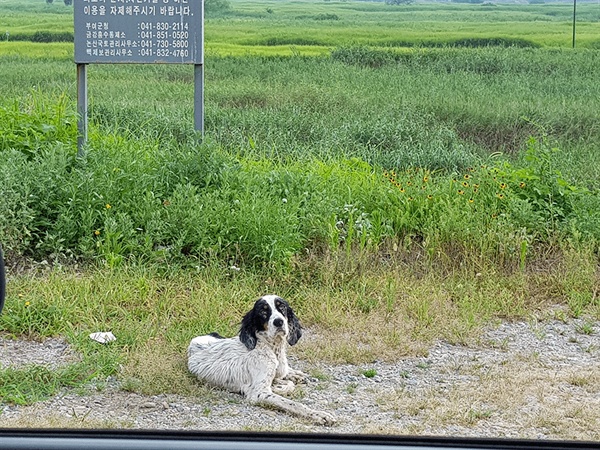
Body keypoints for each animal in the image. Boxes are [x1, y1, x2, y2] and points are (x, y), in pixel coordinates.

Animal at [188, 296, 336, 426]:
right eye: (263, 311)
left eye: (282, 307)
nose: (278, 322)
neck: (271, 348)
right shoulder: (259, 393)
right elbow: (292, 402)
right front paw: (318, 415)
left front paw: (287, 380)